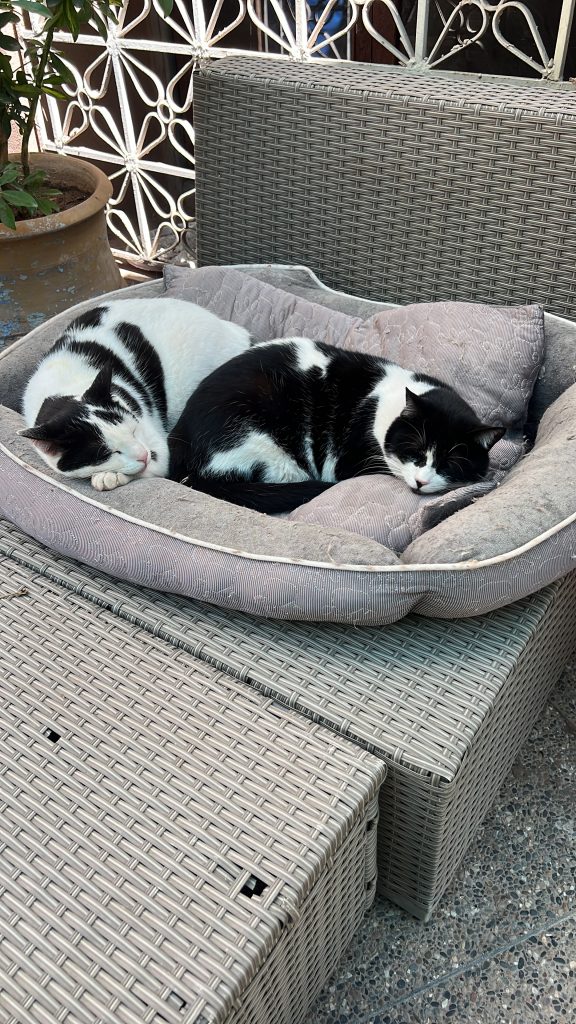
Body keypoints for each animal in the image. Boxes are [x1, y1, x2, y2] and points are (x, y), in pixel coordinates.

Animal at [20, 297, 251, 491]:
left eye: (133, 431)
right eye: (107, 453)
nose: (143, 455)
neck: (67, 382)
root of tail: (232, 328)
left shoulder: (159, 445)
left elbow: (152, 468)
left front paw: (109, 476)